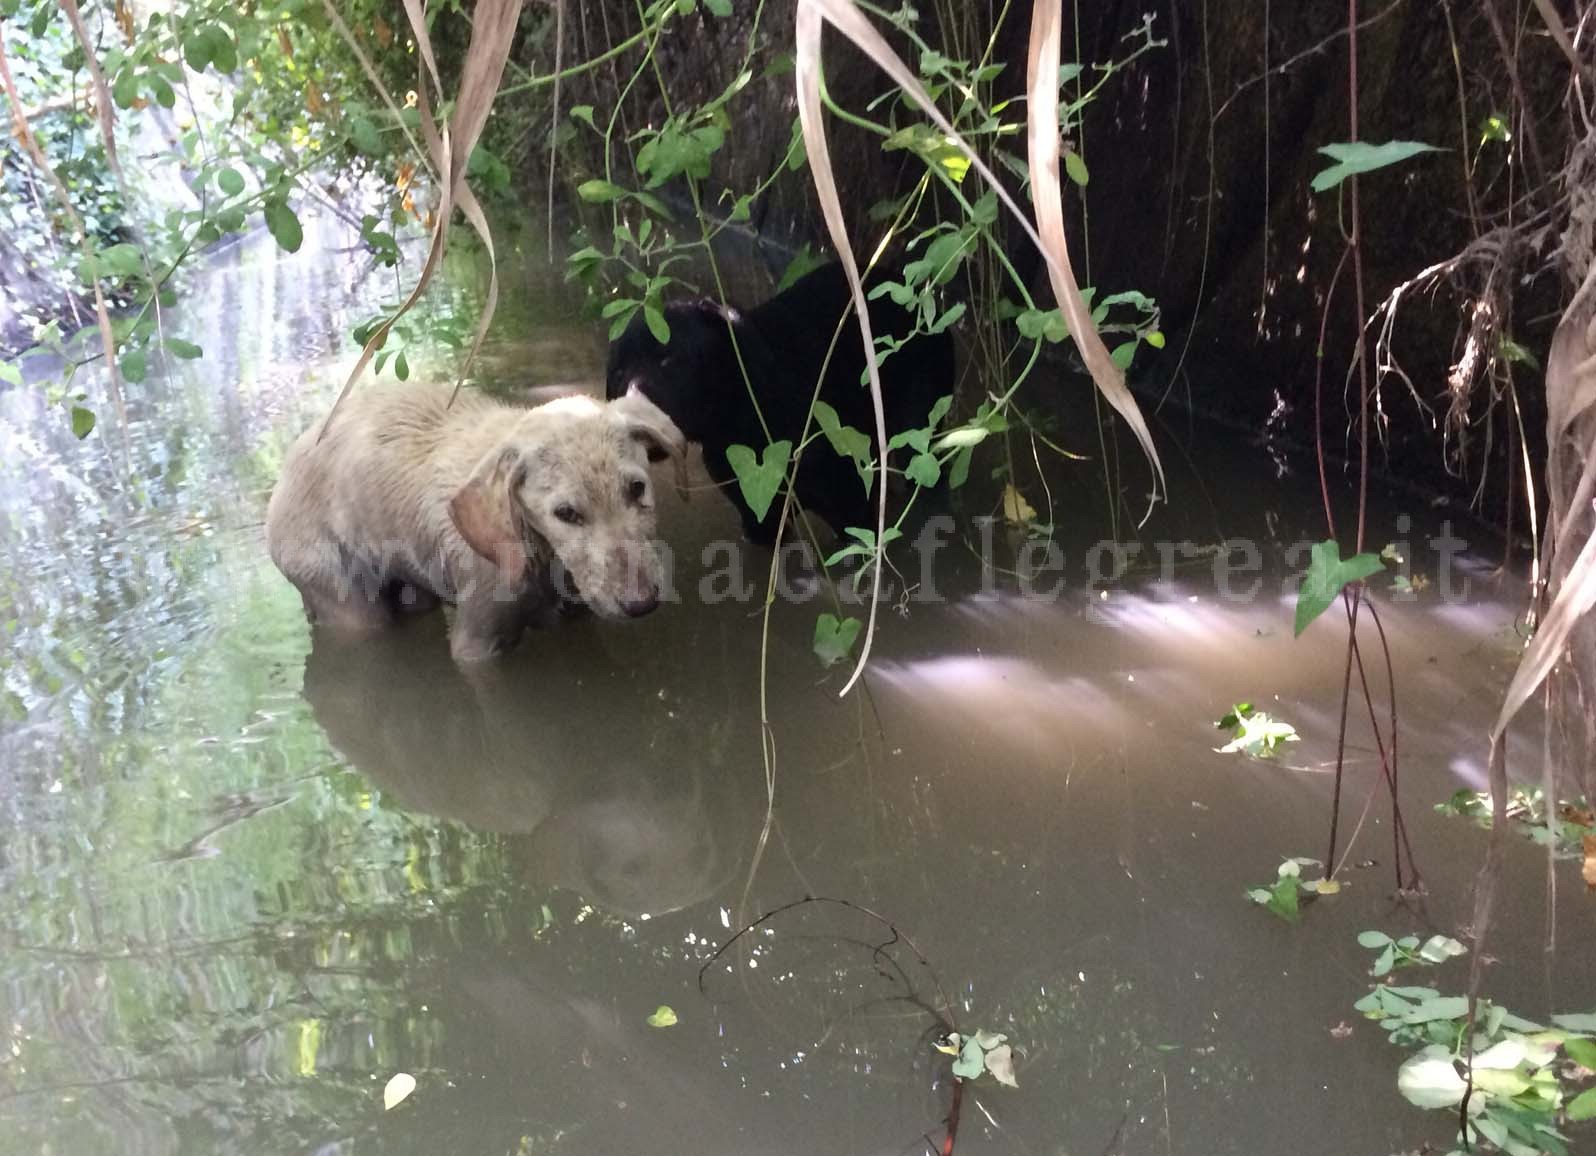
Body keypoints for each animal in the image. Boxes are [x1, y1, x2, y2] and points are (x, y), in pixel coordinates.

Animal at [606, 261, 957, 542]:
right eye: (619, 374)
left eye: (669, 360)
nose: (632, 404)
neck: (742, 418)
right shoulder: (760, 518)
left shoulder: (852, 510)